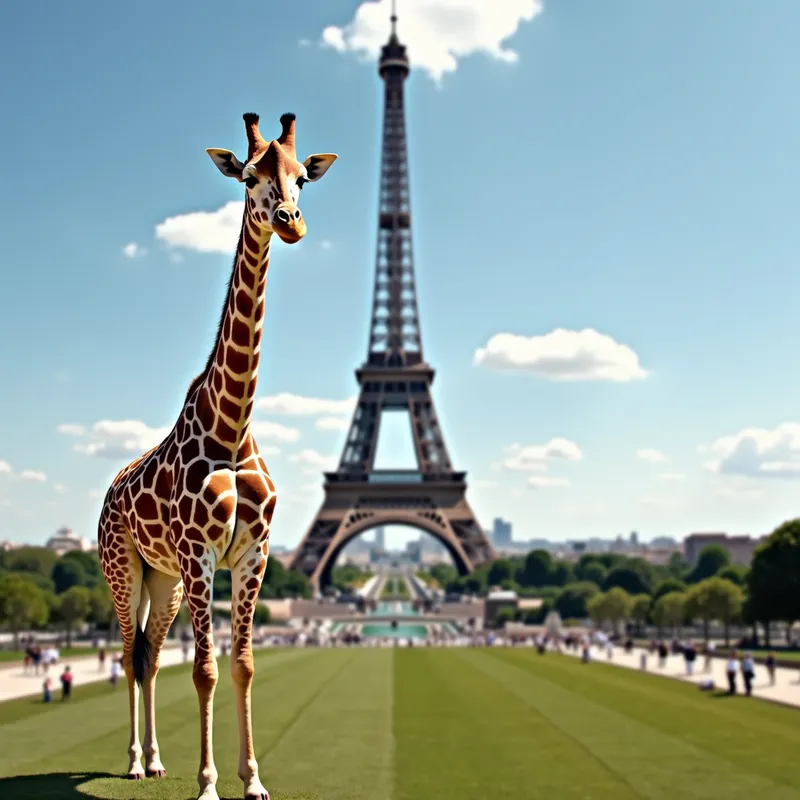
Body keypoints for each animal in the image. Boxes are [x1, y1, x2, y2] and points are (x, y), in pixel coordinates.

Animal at [97, 112, 337, 800]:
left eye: (303, 176)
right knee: (128, 654)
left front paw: (252, 778)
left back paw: (155, 760)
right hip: (124, 566)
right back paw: (132, 761)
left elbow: (244, 664)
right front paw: (207, 782)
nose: (290, 220)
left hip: (166, 580)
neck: (231, 428)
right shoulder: (201, 553)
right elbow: (203, 669)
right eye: (250, 175)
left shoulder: (252, 554)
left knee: (150, 653)